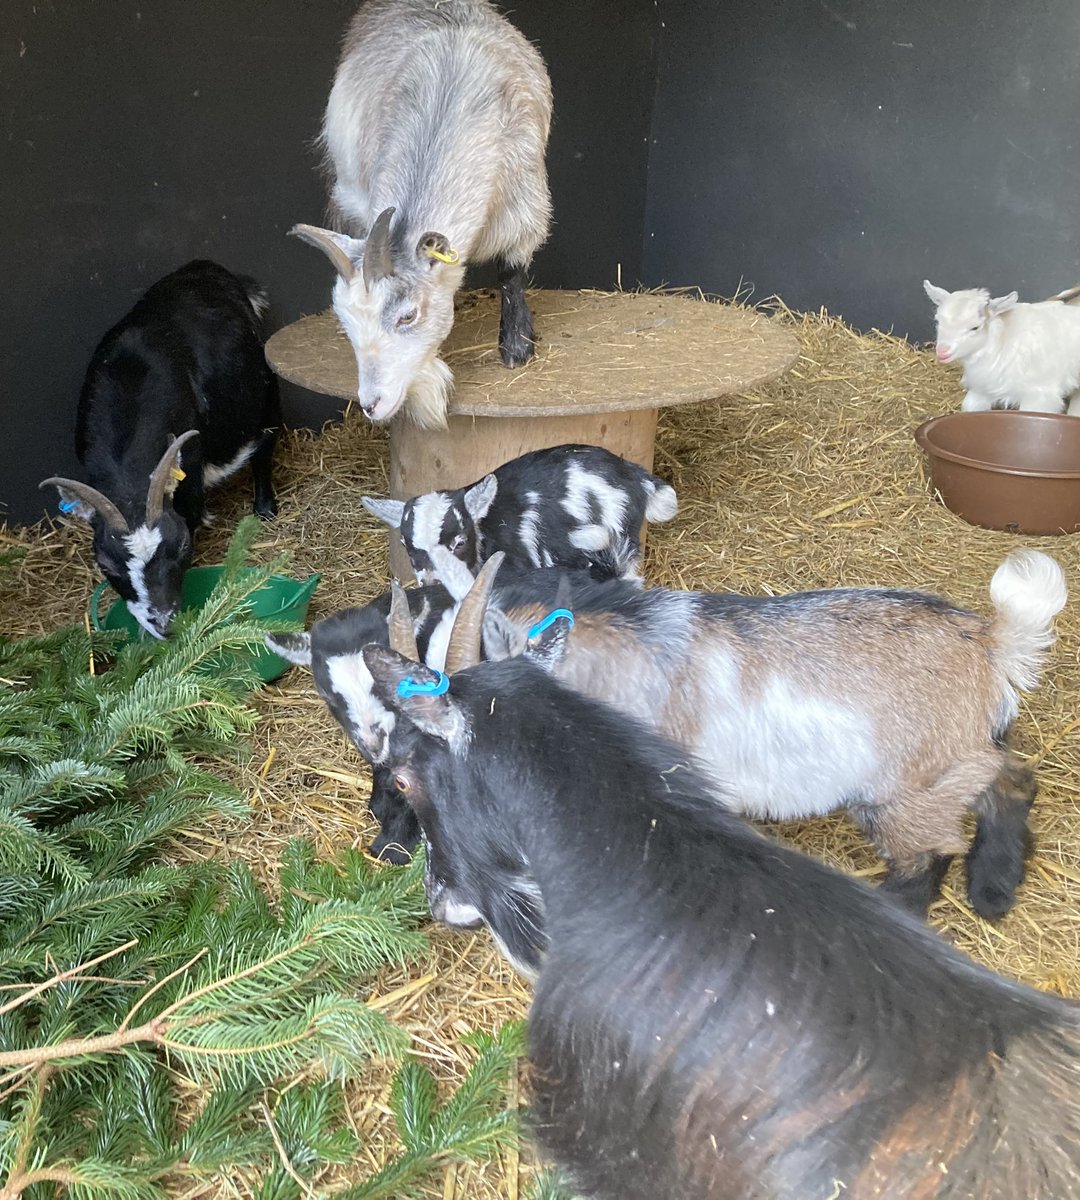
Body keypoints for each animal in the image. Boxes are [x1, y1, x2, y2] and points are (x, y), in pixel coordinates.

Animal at [41, 260, 280, 638]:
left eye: (181, 545)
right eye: (106, 565)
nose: (165, 623)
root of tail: (207, 267)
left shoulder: (190, 466)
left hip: (267, 388)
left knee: (266, 441)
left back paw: (265, 509)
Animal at [291, 0, 552, 428]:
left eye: (408, 316)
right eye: (346, 322)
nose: (371, 404)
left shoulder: (523, 203)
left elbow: (511, 270)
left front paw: (517, 347)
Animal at [348, 578, 1080, 1199]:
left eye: (403, 771)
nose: (385, 848)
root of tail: (991, 641)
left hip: (909, 790)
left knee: (929, 854)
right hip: (957, 762)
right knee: (1012, 778)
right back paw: (994, 887)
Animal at [924, 279, 1080, 414]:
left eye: (975, 327)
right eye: (938, 321)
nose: (942, 351)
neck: (1002, 342)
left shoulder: (1040, 396)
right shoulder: (983, 389)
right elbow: (970, 407)